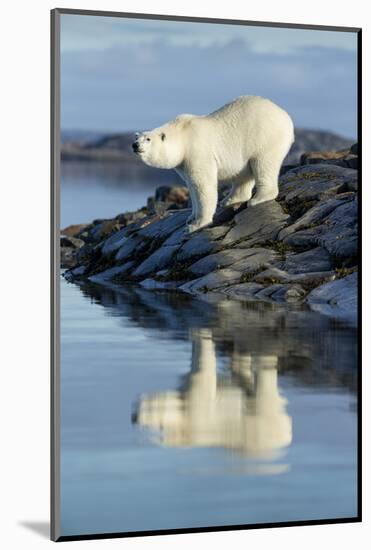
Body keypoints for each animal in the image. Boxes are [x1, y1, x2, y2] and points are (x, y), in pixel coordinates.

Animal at [132, 96, 294, 234]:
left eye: (148, 139)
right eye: (137, 138)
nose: (135, 145)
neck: (183, 136)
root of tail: (286, 117)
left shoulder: (197, 152)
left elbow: (203, 185)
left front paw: (196, 225)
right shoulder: (183, 164)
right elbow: (192, 186)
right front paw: (191, 217)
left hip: (264, 137)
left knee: (263, 164)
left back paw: (258, 199)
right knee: (244, 173)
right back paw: (229, 200)